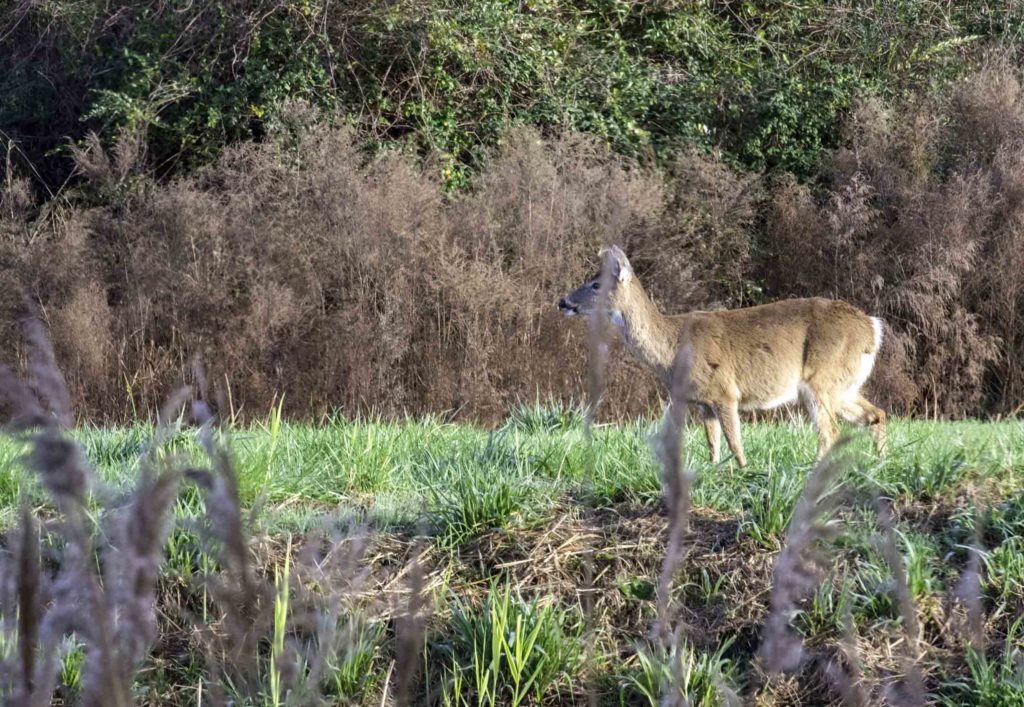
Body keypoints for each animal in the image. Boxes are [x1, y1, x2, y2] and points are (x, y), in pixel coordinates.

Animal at [557, 244, 884, 465]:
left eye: (596, 284)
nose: (562, 301)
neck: (672, 349)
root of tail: (872, 328)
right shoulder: (703, 401)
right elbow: (713, 445)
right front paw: (715, 471)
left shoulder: (725, 391)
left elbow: (735, 443)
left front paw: (744, 471)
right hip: (843, 384)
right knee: (876, 414)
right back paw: (878, 461)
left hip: (822, 378)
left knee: (830, 431)